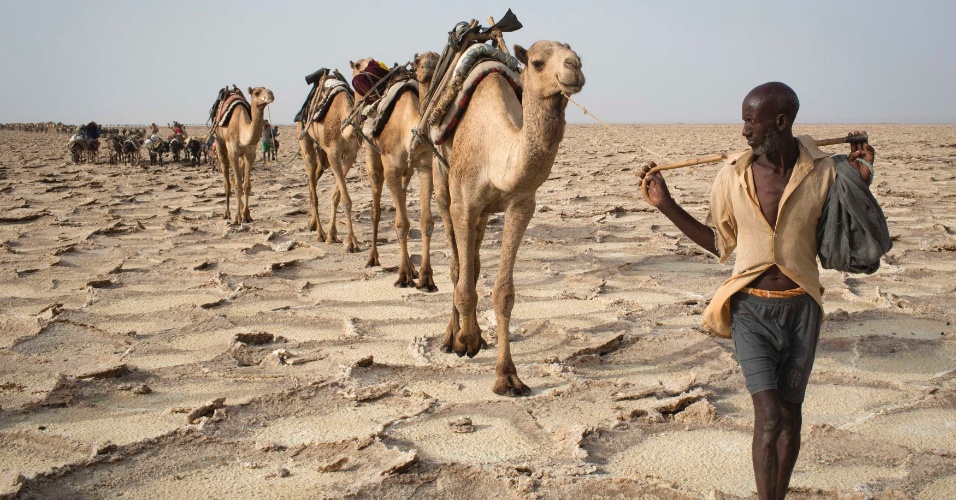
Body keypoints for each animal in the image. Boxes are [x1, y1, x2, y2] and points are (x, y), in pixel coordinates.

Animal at [215, 87, 274, 224]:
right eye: (257, 92)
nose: (270, 94)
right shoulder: (233, 153)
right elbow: (238, 186)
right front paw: (237, 217)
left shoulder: (250, 154)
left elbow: (246, 185)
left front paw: (246, 215)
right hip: (219, 142)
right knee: (227, 181)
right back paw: (227, 213)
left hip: (241, 156)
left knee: (234, 179)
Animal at [296, 76, 360, 252]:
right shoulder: (333, 154)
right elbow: (345, 199)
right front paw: (351, 242)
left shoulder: (351, 155)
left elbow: (336, 196)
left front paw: (333, 235)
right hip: (304, 139)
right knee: (313, 189)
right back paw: (320, 233)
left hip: (323, 154)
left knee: (315, 176)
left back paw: (312, 224)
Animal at [356, 52, 442, 292]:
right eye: (418, 61)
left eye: (437, 58)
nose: (428, 66)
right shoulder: (391, 167)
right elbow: (401, 223)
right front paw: (403, 277)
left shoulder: (425, 167)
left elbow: (426, 221)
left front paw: (426, 278)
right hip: (373, 155)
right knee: (376, 205)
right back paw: (373, 258)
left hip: (407, 171)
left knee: (402, 195)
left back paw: (413, 269)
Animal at [434, 41, 584, 396]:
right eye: (539, 63)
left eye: (579, 58)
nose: (574, 67)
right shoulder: (463, 203)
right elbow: (462, 280)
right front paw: (466, 341)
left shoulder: (520, 204)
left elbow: (503, 292)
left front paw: (507, 376)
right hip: (439, 182)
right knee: (458, 266)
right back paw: (451, 337)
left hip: (483, 214)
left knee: (473, 263)